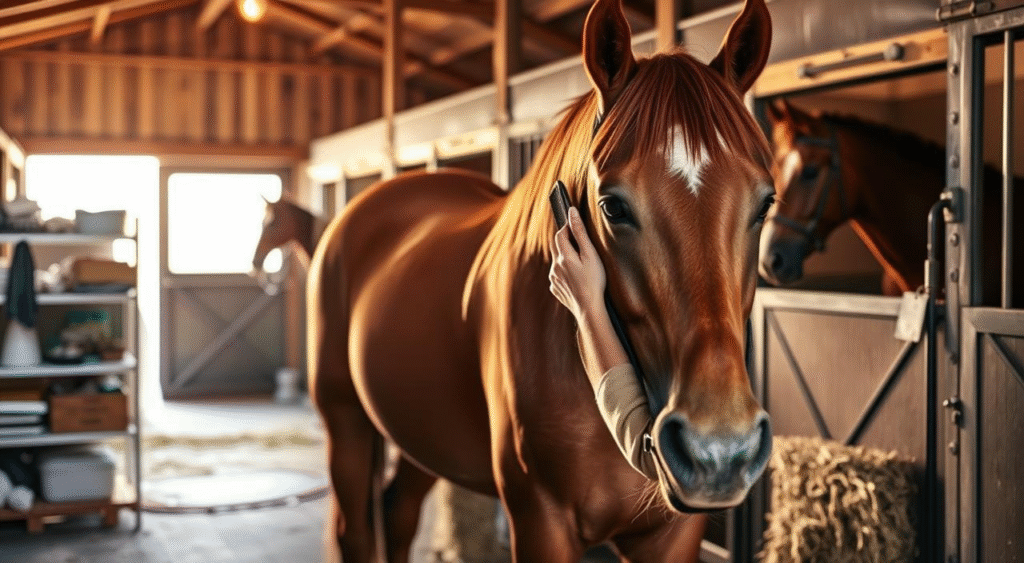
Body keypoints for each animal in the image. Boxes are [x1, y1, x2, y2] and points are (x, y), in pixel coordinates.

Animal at [310, 0, 776, 560]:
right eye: (612, 206)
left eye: (765, 203)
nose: (720, 453)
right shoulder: (539, 519)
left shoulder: (671, 533)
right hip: (346, 423)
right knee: (355, 529)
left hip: (420, 430)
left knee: (398, 512)